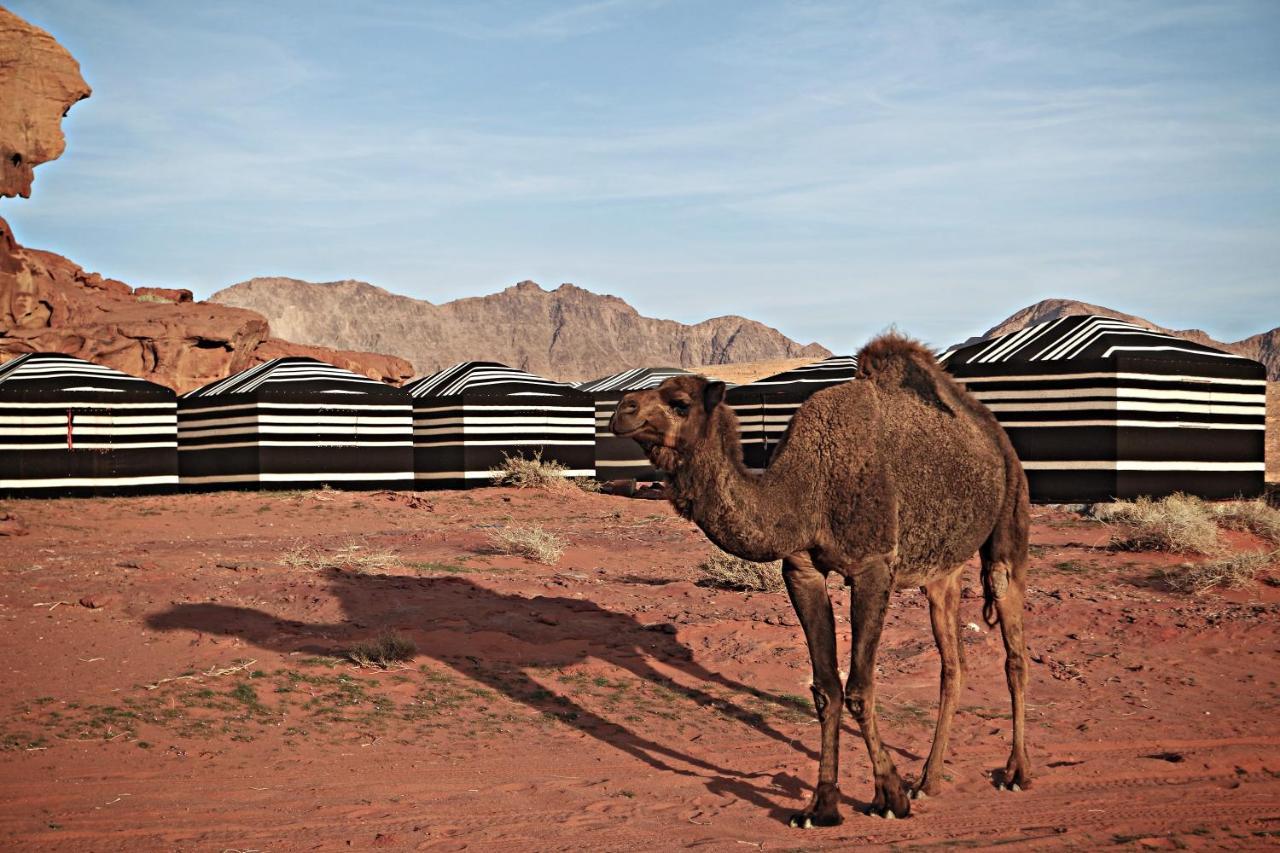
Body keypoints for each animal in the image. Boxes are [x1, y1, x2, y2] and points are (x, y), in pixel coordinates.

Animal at [609, 333, 1029, 824]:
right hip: (941, 571)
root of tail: (990, 429)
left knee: (1012, 641)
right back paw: (929, 780)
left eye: (679, 402)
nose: (622, 409)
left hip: (1010, 517)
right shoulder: (801, 570)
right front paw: (821, 804)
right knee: (953, 663)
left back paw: (1016, 771)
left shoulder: (872, 567)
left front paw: (889, 795)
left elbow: (860, 689)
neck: (806, 491)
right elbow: (826, 689)